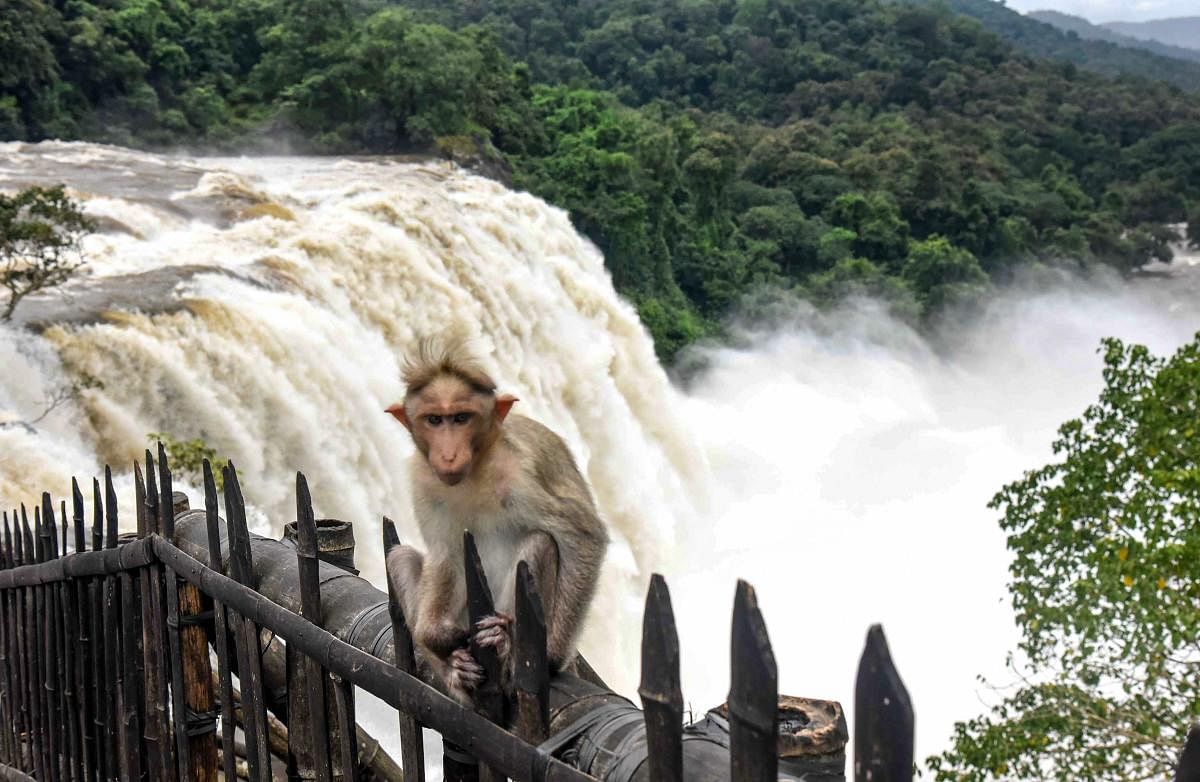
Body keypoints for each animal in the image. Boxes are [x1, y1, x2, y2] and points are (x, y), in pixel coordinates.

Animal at [384, 335, 609, 695]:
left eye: (461, 418)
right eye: (435, 420)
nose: (448, 455)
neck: (474, 471)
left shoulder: (520, 475)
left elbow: (583, 536)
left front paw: (550, 657)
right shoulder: (424, 482)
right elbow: (444, 553)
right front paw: (436, 639)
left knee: (540, 543)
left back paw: (505, 644)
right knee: (401, 557)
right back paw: (454, 670)